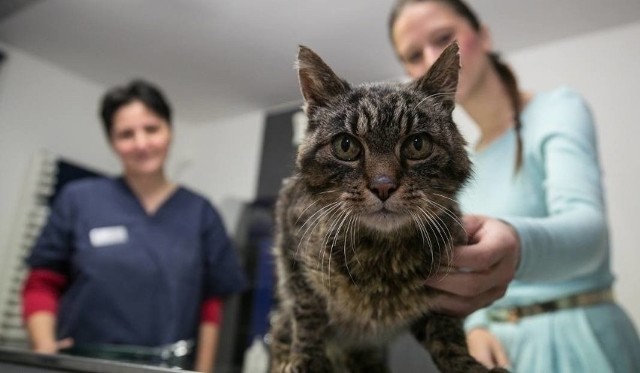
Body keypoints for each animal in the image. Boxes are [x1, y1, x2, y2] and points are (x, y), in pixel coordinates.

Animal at [268, 42, 504, 370]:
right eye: (346, 146)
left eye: (417, 144)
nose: (383, 185)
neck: (383, 253)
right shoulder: (289, 241)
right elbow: (307, 317)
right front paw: (305, 361)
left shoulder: (443, 290)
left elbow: (446, 331)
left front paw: (466, 365)